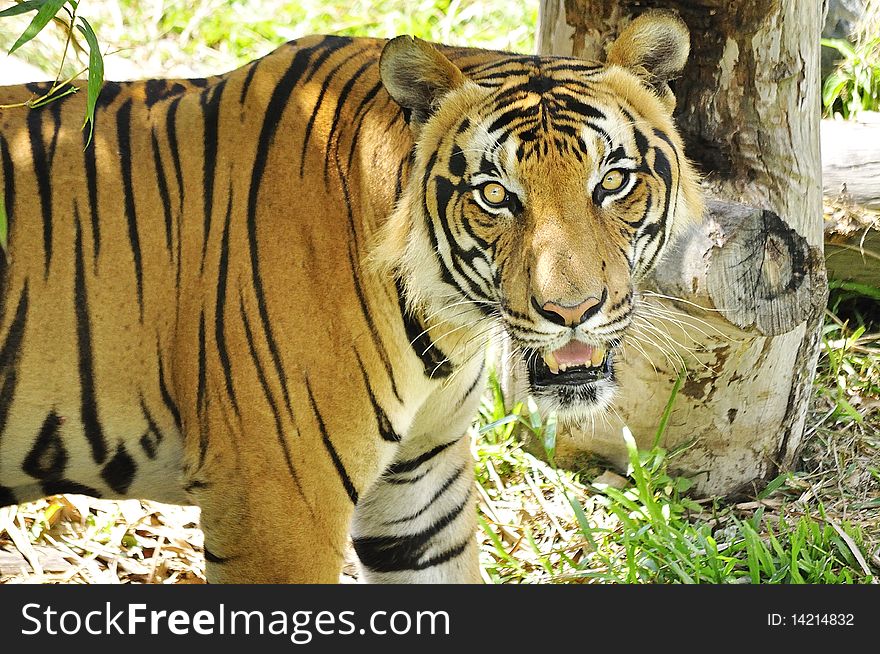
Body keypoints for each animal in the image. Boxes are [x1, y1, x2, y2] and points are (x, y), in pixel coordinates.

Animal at [0, 10, 700, 584]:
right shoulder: (277, 507)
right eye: (495, 194)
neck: (447, 324)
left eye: (613, 182)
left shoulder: (420, 491)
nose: (572, 311)